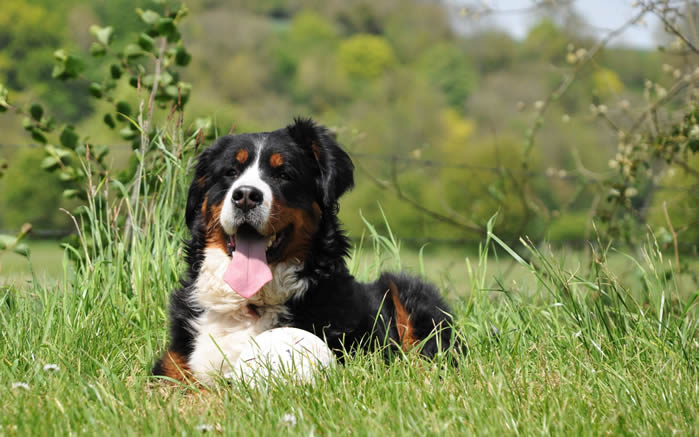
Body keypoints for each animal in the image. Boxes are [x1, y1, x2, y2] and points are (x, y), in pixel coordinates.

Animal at [154, 116, 460, 382]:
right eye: (230, 172)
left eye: (284, 174)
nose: (246, 196)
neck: (250, 304)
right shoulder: (174, 364)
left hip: (406, 290)